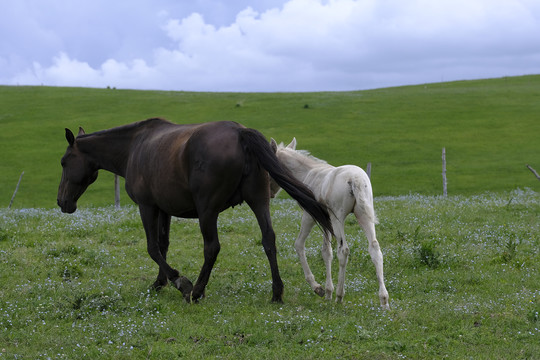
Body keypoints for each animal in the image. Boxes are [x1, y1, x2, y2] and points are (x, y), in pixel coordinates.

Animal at [57, 119, 332, 304]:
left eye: (63, 161)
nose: (61, 202)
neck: (135, 146)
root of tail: (240, 132)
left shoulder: (147, 206)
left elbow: (152, 248)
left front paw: (180, 282)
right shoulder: (163, 209)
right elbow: (163, 245)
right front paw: (160, 282)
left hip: (208, 211)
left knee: (212, 248)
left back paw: (197, 290)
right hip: (259, 201)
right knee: (269, 240)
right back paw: (276, 292)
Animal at [270, 139, 388, 308]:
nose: (270, 193)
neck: (308, 173)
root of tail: (355, 179)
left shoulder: (310, 215)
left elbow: (300, 244)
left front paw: (320, 289)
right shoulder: (325, 220)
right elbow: (326, 252)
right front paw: (327, 292)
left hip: (338, 218)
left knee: (343, 250)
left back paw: (340, 295)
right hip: (363, 216)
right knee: (375, 249)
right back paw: (384, 300)